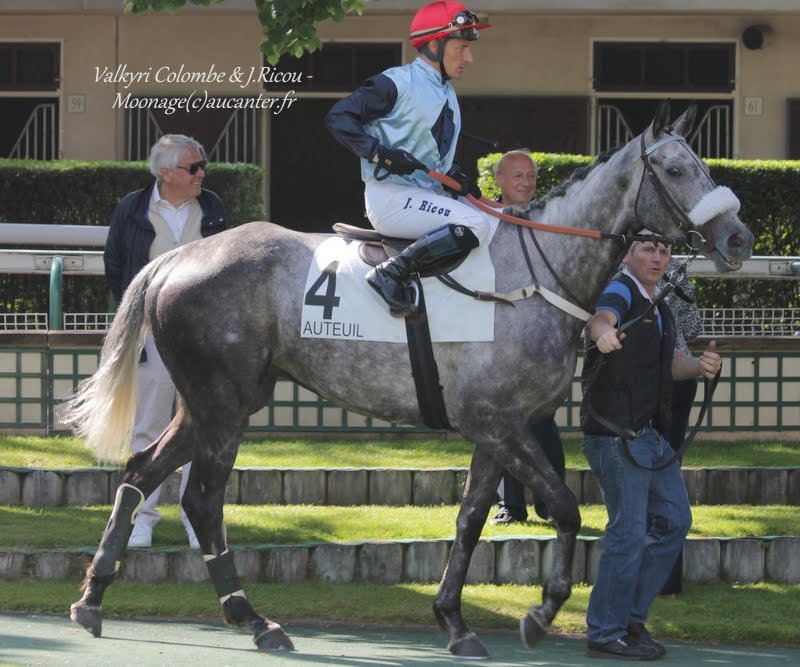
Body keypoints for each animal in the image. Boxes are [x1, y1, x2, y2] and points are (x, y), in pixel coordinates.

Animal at [63, 100, 753, 659]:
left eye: (701, 164)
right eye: (676, 170)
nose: (740, 238)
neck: (536, 274)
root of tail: (177, 257)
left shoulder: (496, 430)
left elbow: (470, 519)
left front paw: (454, 622)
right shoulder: (497, 423)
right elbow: (562, 505)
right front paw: (539, 612)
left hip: (211, 403)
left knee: (141, 469)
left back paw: (93, 598)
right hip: (223, 407)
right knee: (202, 500)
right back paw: (253, 619)